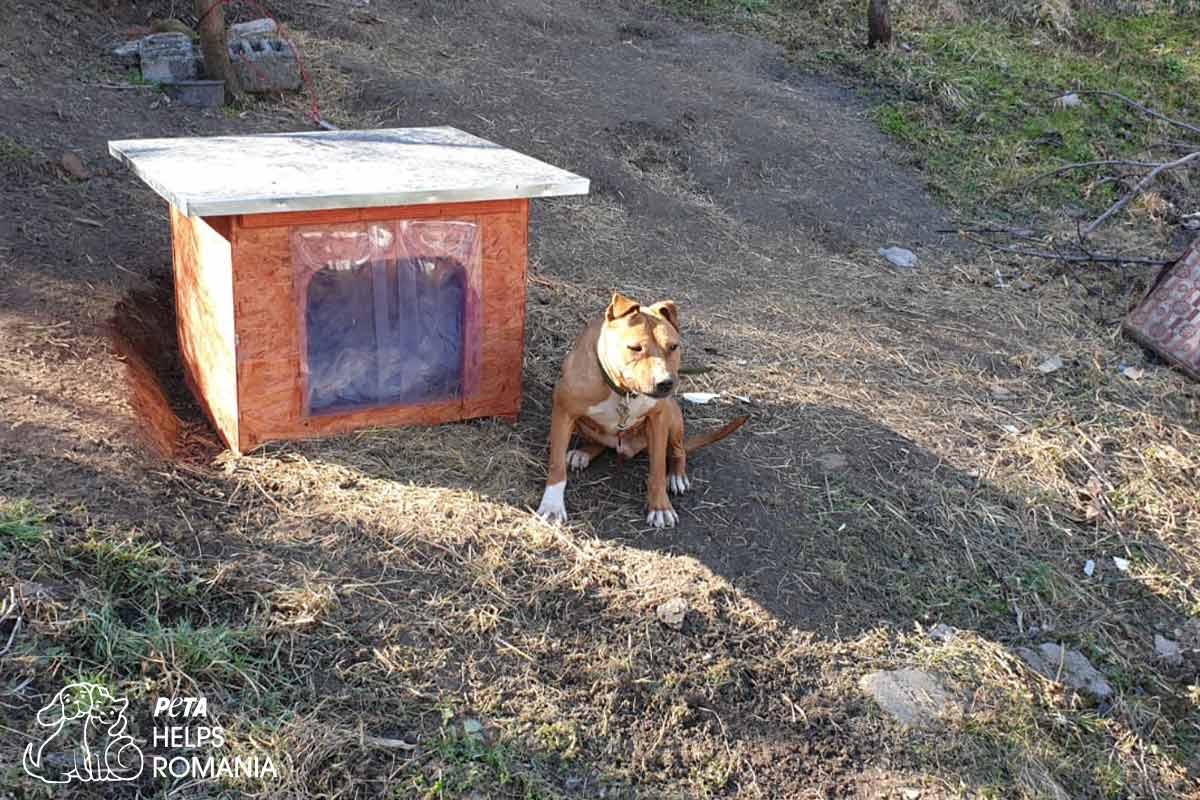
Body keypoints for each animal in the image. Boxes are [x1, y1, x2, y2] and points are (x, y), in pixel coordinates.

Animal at [537, 291, 744, 527]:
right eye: (635, 348)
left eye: (673, 347)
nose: (665, 383)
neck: (622, 390)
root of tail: (628, 448)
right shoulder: (563, 411)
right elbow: (556, 464)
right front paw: (552, 506)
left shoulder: (658, 419)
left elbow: (658, 470)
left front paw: (660, 507)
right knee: (598, 442)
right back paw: (583, 452)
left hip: (673, 417)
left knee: (679, 450)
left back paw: (677, 476)